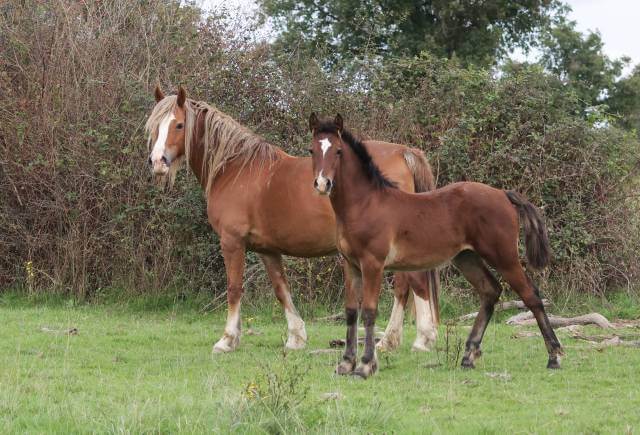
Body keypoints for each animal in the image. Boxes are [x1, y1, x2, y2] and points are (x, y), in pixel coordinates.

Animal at [145, 86, 441, 354]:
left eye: (179, 124)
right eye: (155, 126)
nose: (157, 162)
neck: (235, 169)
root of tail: (404, 153)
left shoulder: (232, 242)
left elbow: (234, 288)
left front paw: (227, 340)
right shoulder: (267, 249)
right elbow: (281, 289)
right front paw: (296, 337)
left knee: (410, 283)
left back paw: (414, 339)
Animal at [308, 113, 564, 379]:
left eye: (338, 151)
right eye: (311, 150)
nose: (322, 184)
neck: (366, 203)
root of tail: (503, 194)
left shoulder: (373, 264)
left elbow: (369, 310)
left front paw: (365, 365)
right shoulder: (350, 264)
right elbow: (350, 311)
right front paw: (346, 363)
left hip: (504, 256)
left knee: (531, 295)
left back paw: (554, 356)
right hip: (467, 257)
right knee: (490, 290)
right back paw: (468, 355)